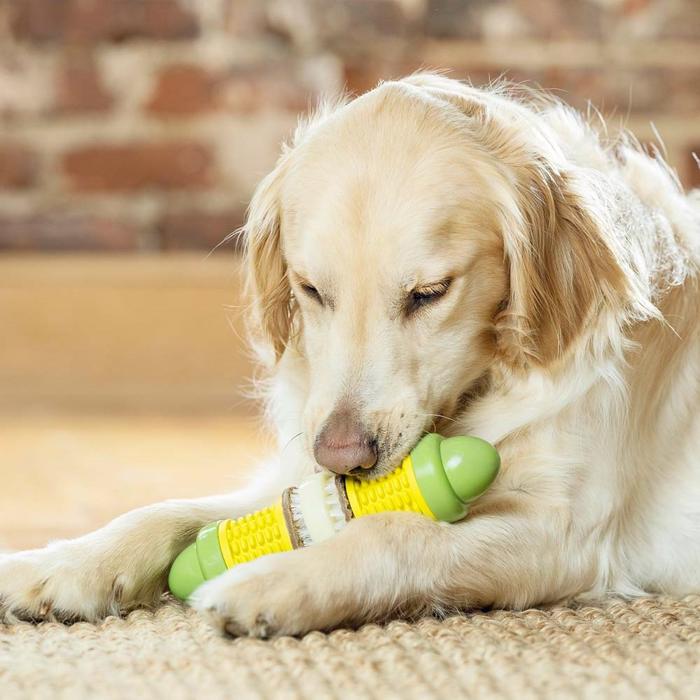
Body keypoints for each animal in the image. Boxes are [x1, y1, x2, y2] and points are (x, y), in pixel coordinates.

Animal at [1, 74, 700, 636]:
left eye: (429, 293)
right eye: (312, 289)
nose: (342, 456)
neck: (485, 390)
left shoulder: (566, 537)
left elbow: (396, 532)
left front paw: (277, 579)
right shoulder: (297, 479)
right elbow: (167, 510)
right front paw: (59, 564)